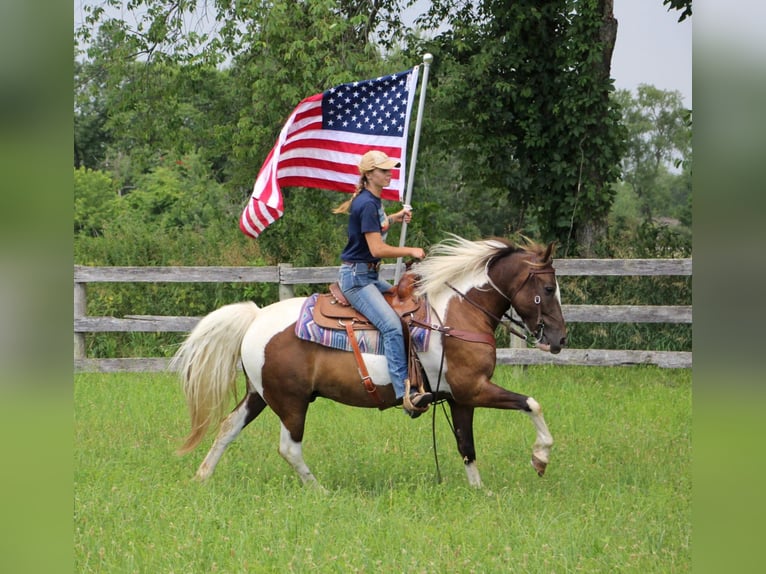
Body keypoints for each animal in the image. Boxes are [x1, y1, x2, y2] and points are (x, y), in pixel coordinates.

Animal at [171, 236, 568, 488]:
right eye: (549, 289)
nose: (560, 339)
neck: (455, 314)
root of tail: (255, 317)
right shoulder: (475, 389)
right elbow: (531, 403)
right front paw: (541, 458)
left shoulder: (460, 397)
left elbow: (466, 446)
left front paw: (478, 492)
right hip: (292, 402)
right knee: (289, 447)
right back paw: (320, 491)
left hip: (261, 394)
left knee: (228, 427)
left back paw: (201, 478)